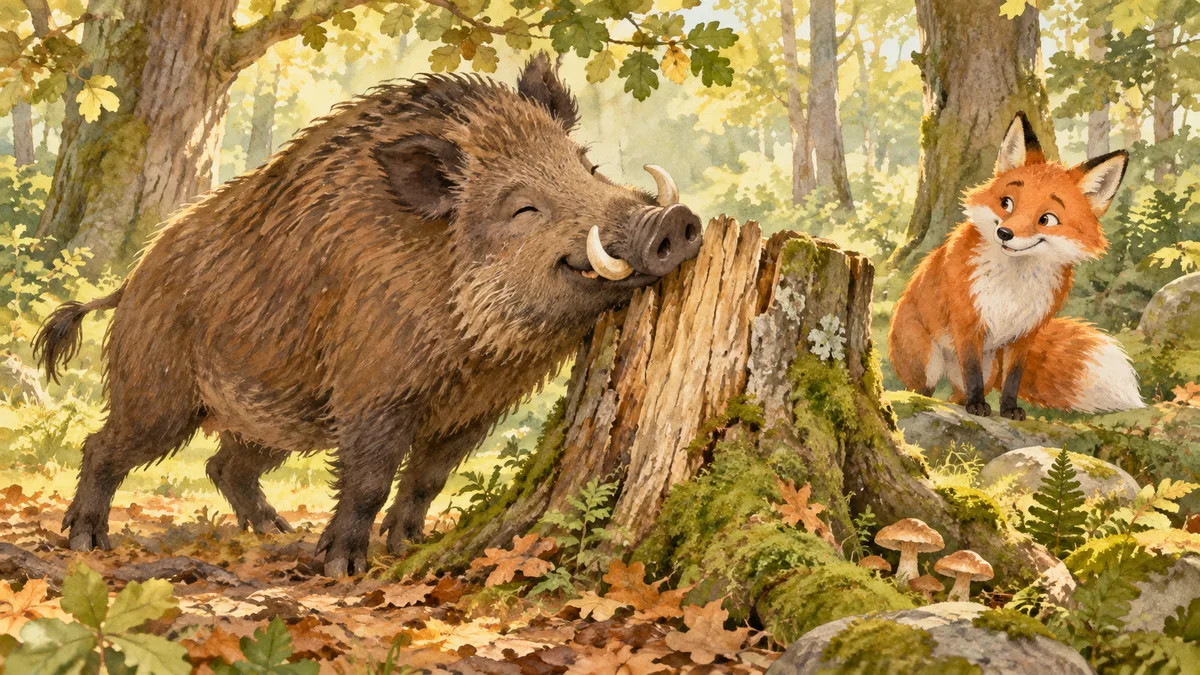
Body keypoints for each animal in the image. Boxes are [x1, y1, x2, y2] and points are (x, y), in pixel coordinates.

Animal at [888, 111, 1143, 420]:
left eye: (1046, 219)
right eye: (1006, 203)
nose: (1005, 233)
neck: (1013, 284)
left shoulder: (1025, 334)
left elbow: (1012, 379)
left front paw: (1008, 409)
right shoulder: (967, 323)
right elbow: (972, 371)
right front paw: (978, 406)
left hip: (989, 369)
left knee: (955, 395)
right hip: (927, 361)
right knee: (922, 390)